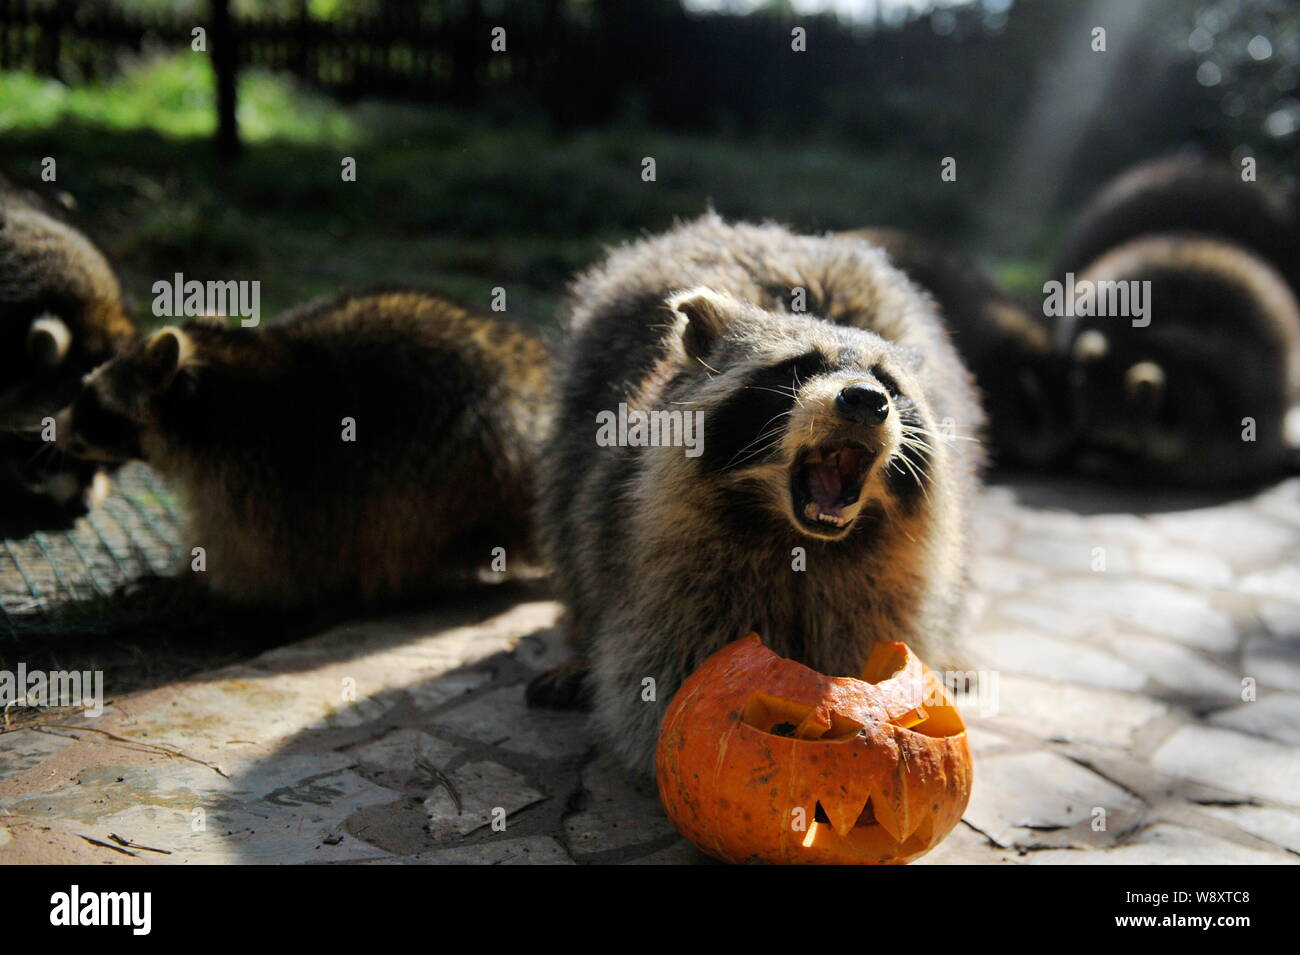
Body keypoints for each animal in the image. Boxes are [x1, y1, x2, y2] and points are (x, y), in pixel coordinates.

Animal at [56, 289, 551, 609]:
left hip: (466, 455)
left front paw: (194, 582)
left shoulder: (257, 477)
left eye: (92, 401)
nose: (52, 428)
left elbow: (254, 561)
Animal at [532, 214, 985, 777]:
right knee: (570, 519)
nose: (865, 400)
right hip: (580, 411)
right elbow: (667, 654)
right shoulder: (668, 548)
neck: (800, 539)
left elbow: (871, 635)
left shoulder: (886, 574)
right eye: (800, 367)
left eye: (888, 382)